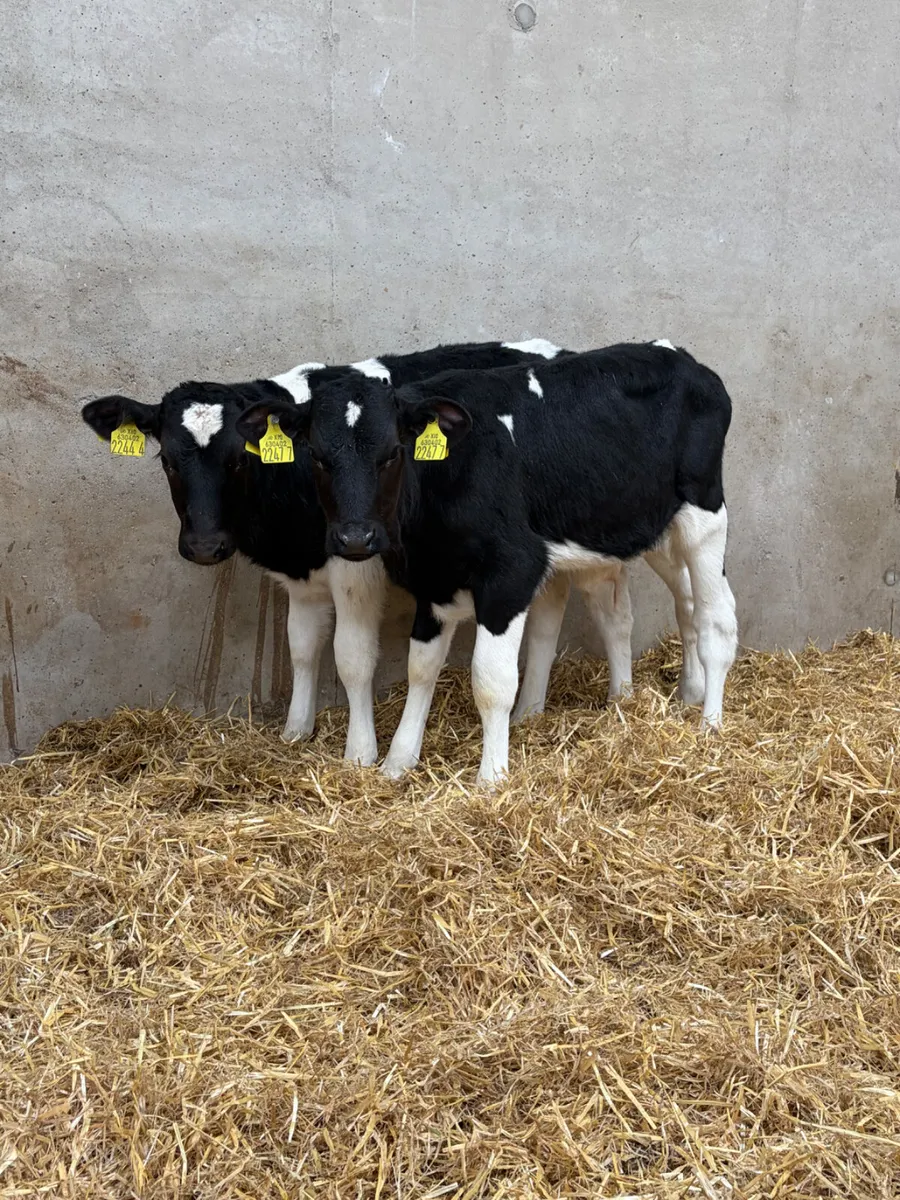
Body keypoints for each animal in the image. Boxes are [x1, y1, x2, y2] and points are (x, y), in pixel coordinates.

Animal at [83, 337, 638, 764]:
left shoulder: (357, 566)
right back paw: (533, 712)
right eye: (167, 460)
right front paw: (296, 731)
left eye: (239, 458)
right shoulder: (304, 578)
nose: (204, 546)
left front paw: (360, 754)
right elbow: (302, 647)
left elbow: (351, 658)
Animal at [234, 340, 738, 784]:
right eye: (317, 457)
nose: (355, 537)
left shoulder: (510, 573)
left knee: (716, 617)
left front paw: (492, 777)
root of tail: (680, 356)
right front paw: (398, 761)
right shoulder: (433, 582)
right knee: (659, 607)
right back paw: (650, 700)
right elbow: (421, 669)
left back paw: (710, 723)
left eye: (393, 452)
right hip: (643, 526)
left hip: (703, 514)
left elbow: (492, 680)